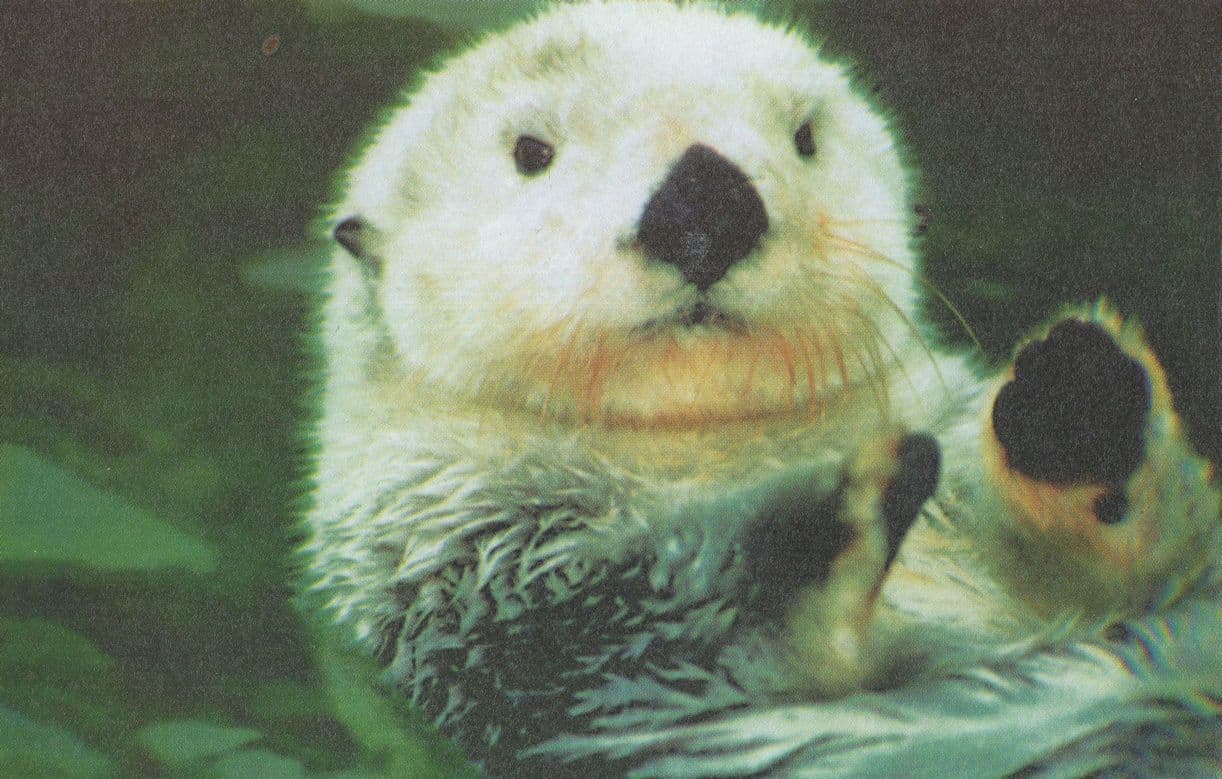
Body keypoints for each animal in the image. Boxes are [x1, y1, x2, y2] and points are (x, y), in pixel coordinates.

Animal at [301, 2, 1219, 775]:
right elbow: (672, 630)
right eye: (531, 151)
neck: (708, 455)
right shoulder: (491, 592)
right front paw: (832, 513)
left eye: (804, 136)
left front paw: (1078, 402)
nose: (705, 199)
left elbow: (1146, 567)